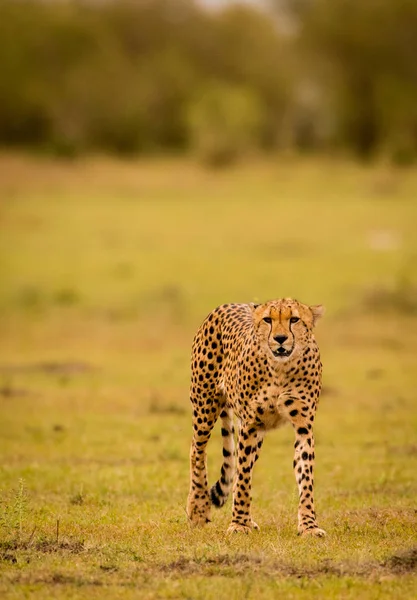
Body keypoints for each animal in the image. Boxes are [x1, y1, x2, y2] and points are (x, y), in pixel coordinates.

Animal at [185, 298, 324, 536]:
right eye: (268, 320)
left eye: (294, 319)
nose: (280, 338)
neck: (280, 368)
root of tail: (229, 304)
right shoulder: (249, 425)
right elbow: (242, 478)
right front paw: (238, 524)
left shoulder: (303, 426)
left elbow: (305, 476)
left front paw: (309, 526)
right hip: (205, 404)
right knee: (197, 450)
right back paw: (198, 508)